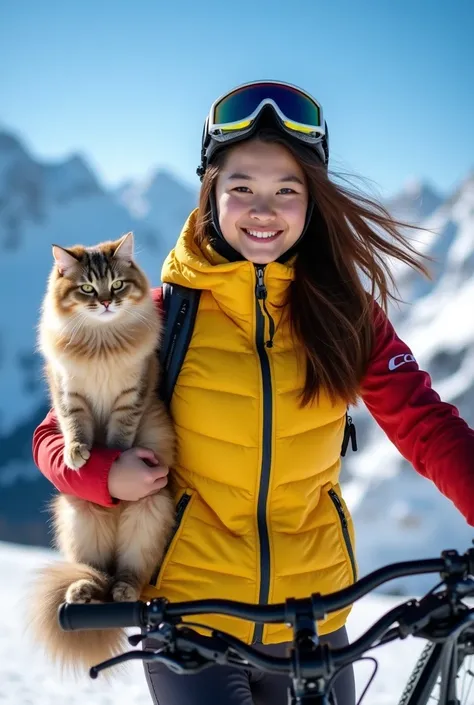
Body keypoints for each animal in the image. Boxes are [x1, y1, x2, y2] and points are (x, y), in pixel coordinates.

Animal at [30, 231, 178, 672]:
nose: (108, 302)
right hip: (80, 520)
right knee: (97, 576)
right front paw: (80, 455)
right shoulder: (69, 391)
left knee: (127, 578)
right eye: (86, 289)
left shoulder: (131, 394)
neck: (101, 343)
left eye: (116, 285)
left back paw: (122, 591)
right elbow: (73, 426)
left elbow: (119, 437)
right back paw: (81, 591)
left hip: (147, 517)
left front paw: (114, 461)